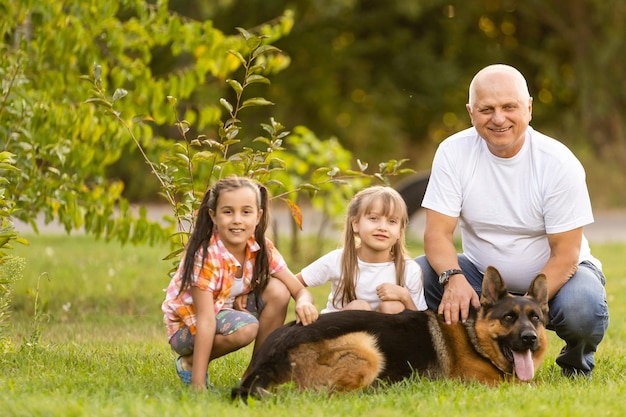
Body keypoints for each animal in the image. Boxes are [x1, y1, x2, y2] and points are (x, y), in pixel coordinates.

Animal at [232, 264, 548, 398]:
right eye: (508, 317)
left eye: (535, 318)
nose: (530, 339)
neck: (476, 340)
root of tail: (269, 357)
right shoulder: (485, 383)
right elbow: (530, 385)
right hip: (367, 346)